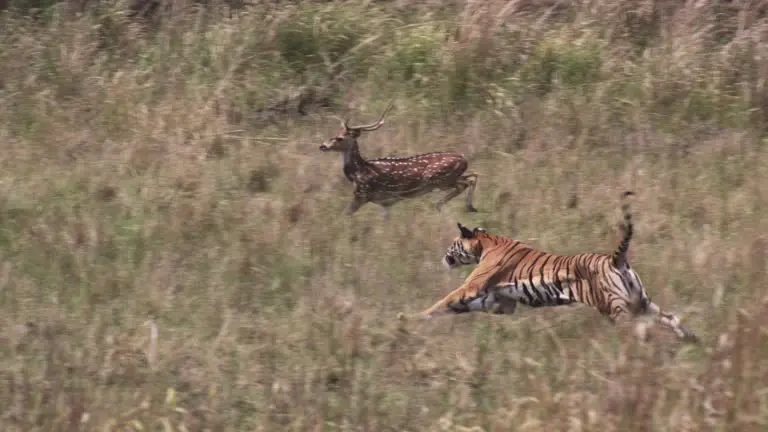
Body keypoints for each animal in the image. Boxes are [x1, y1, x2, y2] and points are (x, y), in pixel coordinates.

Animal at [319, 102, 479, 218]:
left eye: (339, 138)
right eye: (334, 134)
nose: (323, 146)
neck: (359, 171)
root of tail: (463, 157)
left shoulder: (362, 194)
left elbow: (344, 215)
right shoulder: (385, 203)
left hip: (439, 179)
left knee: (465, 182)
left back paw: (448, 205)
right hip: (449, 177)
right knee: (473, 175)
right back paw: (465, 207)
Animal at [419, 191, 699, 343]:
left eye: (453, 244)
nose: (444, 258)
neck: (486, 243)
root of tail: (614, 259)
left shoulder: (474, 285)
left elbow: (447, 299)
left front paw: (416, 317)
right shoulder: (500, 302)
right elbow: (457, 307)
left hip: (617, 308)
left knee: (640, 330)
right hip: (641, 301)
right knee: (670, 317)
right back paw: (690, 339)